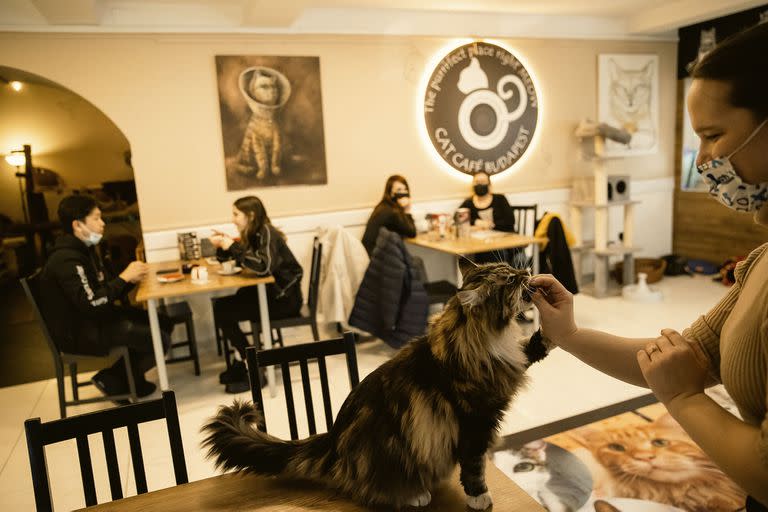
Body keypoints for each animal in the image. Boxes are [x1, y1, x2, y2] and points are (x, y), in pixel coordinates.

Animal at [202, 262, 552, 510]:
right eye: (510, 280)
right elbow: (475, 469)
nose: (526, 271)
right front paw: (480, 498)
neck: (485, 338)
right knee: (372, 491)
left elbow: (532, 347)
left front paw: (550, 333)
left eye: (511, 269)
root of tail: (332, 442)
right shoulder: (474, 423)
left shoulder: (512, 362)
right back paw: (415, 496)